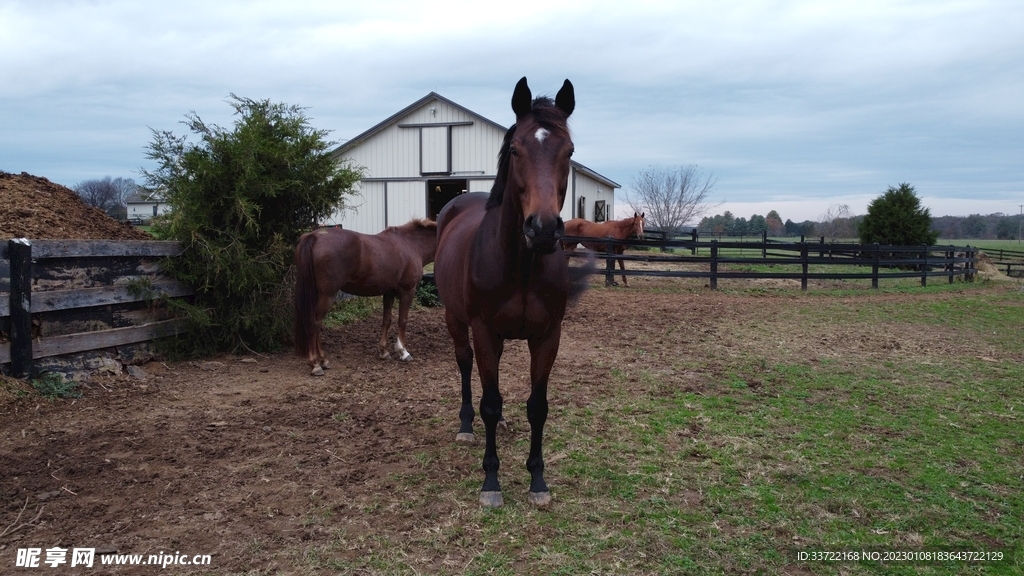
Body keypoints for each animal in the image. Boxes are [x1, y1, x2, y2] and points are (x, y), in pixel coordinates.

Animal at [294, 218, 437, 376]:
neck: (411, 243)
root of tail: (315, 236)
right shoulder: (408, 291)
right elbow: (402, 321)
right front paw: (403, 352)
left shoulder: (389, 292)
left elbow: (386, 320)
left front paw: (383, 352)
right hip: (327, 296)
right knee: (315, 323)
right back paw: (315, 364)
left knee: (317, 325)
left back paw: (323, 360)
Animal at [434, 77, 579, 509]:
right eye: (516, 149)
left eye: (569, 151)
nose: (542, 229)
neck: (522, 267)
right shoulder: (484, 331)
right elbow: (489, 400)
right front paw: (491, 482)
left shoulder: (548, 337)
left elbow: (538, 407)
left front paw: (538, 481)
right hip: (456, 319)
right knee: (466, 366)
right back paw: (466, 427)